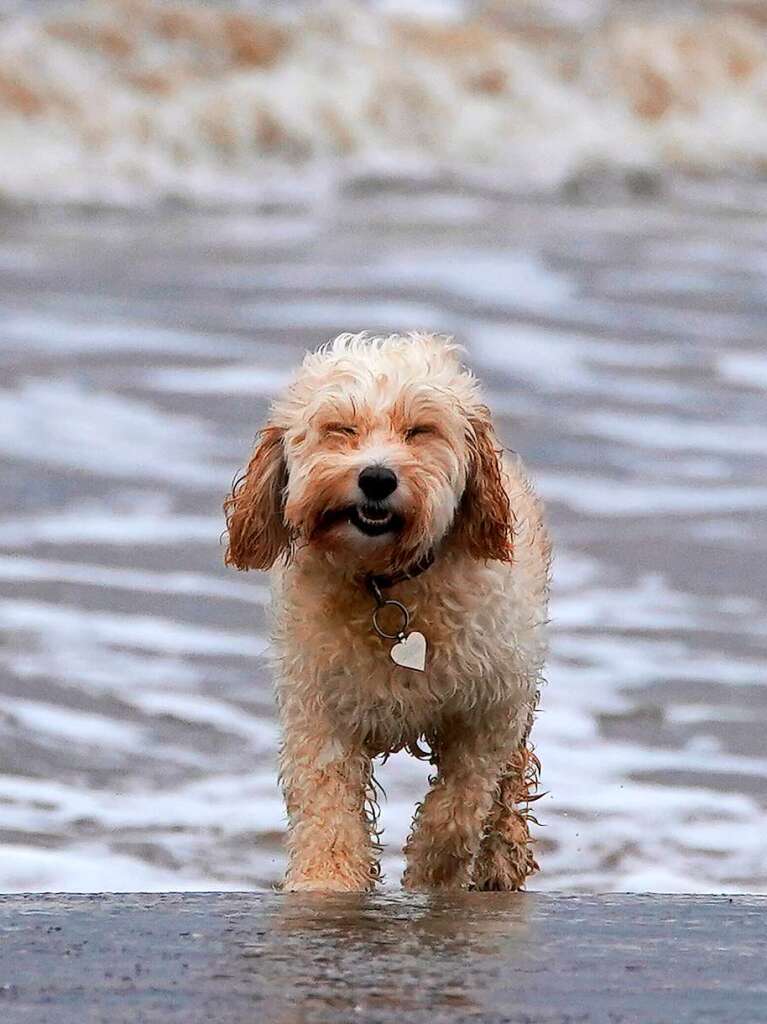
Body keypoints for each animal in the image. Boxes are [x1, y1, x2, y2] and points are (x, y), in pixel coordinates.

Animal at [223, 333, 548, 888]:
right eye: (341, 429)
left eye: (419, 431)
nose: (377, 478)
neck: (387, 586)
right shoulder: (320, 711)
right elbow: (327, 806)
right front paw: (326, 880)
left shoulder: (488, 710)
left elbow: (459, 806)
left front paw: (433, 871)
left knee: (508, 785)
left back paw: (500, 861)